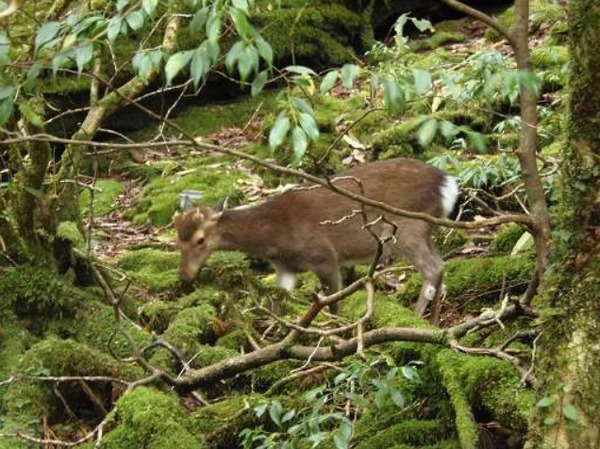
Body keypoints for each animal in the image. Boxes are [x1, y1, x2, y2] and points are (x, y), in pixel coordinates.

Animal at [173, 158, 460, 318]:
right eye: (176, 238)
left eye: (200, 240)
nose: (185, 275)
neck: (275, 236)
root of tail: (448, 185)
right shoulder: (285, 268)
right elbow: (278, 303)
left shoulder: (324, 257)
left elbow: (333, 304)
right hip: (424, 230)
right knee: (440, 267)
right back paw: (434, 324)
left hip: (407, 227)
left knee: (432, 269)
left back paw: (417, 318)